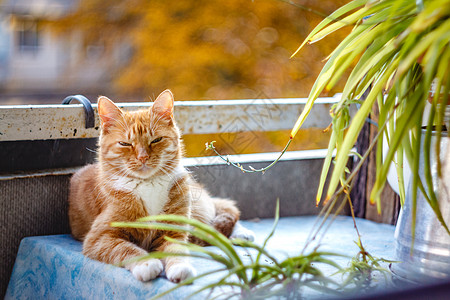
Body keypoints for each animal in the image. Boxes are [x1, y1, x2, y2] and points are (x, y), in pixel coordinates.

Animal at [68, 90, 255, 282]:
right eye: (125, 143)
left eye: (156, 140)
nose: (143, 157)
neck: (147, 184)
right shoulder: (100, 238)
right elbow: (125, 249)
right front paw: (147, 264)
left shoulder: (175, 231)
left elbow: (177, 250)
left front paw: (180, 267)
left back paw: (242, 233)